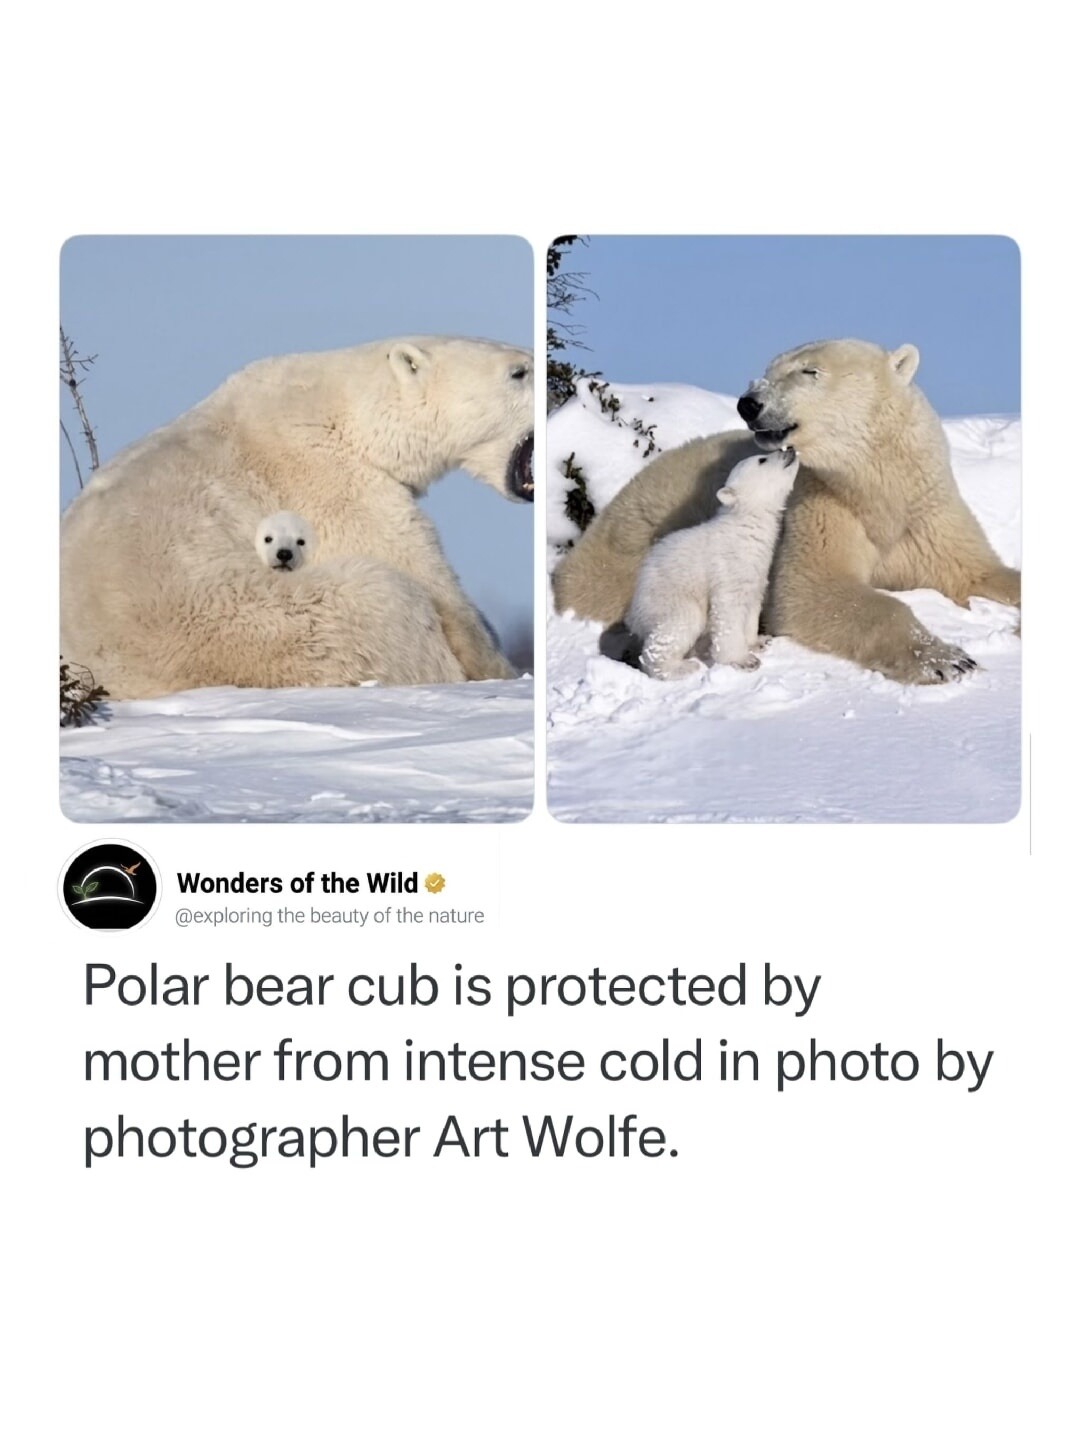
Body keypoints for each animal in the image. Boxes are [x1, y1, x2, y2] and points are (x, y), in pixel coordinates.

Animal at [61, 335, 534, 699]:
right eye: (519, 372)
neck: (348, 414)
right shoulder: (330, 480)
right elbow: (428, 580)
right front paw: (501, 670)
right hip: (271, 629)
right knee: (386, 596)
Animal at [627, 448, 800, 680]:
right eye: (762, 459)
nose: (789, 449)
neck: (746, 526)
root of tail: (633, 615)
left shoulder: (756, 570)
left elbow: (752, 605)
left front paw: (758, 642)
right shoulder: (727, 567)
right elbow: (728, 612)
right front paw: (743, 661)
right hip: (667, 599)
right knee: (679, 624)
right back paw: (681, 667)